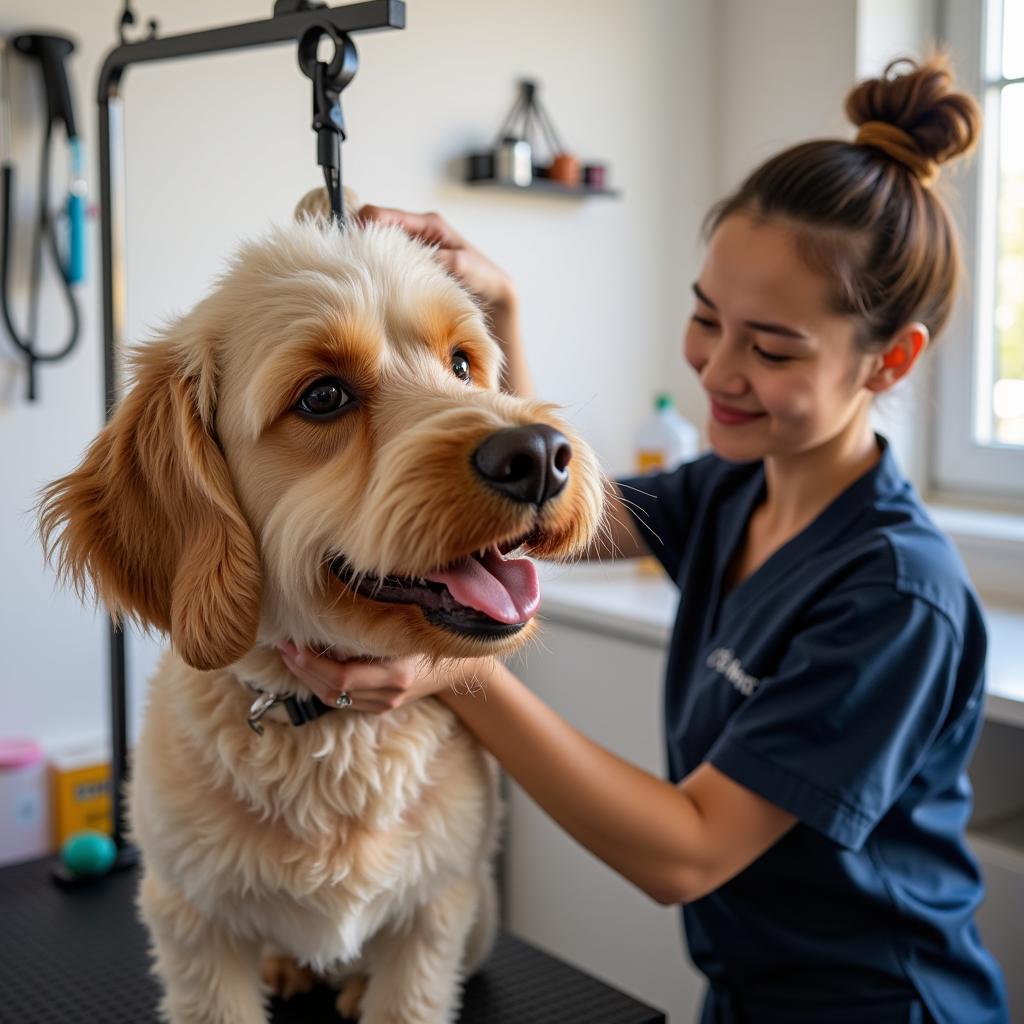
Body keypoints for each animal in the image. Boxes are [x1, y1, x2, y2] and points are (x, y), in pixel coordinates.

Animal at [39, 188, 602, 1019]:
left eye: (463, 364)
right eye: (324, 396)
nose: (538, 455)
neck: (329, 731)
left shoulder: (434, 916)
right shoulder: (192, 921)